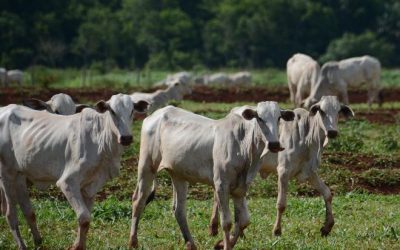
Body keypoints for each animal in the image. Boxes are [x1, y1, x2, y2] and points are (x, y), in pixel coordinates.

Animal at [0, 94, 148, 250]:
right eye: (112, 111)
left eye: (132, 111)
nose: (126, 138)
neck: (100, 137)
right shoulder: (68, 182)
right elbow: (84, 218)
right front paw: (76, 246)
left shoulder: (90, 186)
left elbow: (86, 220)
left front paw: (79, 244)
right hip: (6, 173)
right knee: (10, 213)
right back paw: (22, 245)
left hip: (19, 175)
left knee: (28, 211)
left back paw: (38, 241)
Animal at [130, 101, 296, 250]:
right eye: (259, 118)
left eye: (279, 118)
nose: (274, 144)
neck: (243, 146)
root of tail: (155, 115)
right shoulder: (221, 185)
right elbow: (227, 222)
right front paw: (225, 245)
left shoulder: (240, 188)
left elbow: (244, 221)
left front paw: (221, 243)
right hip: (146, 166)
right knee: (138, 200)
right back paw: (133, 242)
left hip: (178, 175)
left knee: (179, 210)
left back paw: (191, 244)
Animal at [208, 95, 354, 238]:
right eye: (322, 111)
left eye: (338, 111)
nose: (332, 132)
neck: (306, 135)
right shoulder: (283, 171)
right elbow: (281, 204)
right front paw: (277, 230)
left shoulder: (310, 172)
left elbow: (327, 193)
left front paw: (327, 227)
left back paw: (218, 228)